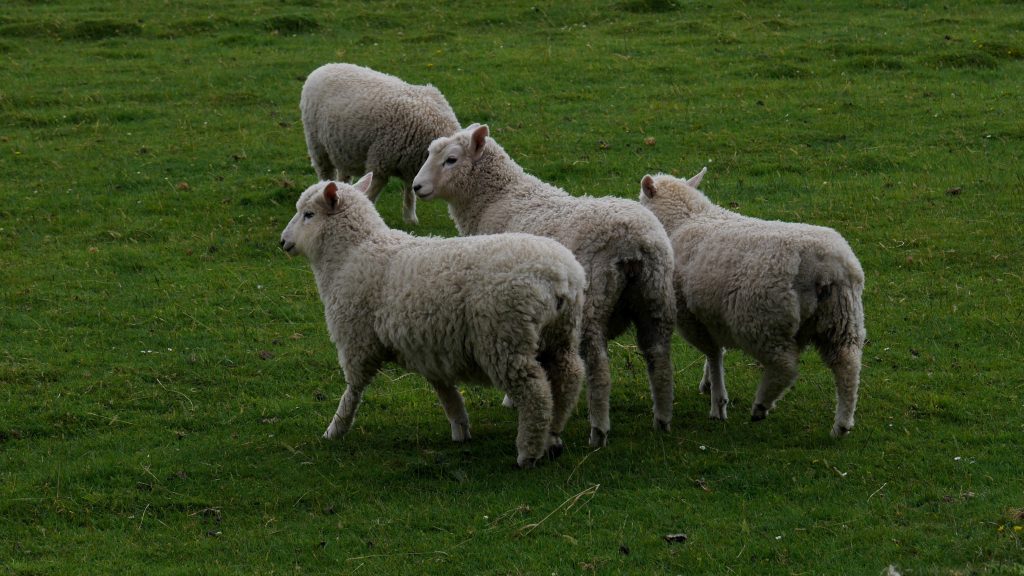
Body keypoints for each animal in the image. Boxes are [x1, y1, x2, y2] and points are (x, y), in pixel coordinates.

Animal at [279, 174, 586, 468]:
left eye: (308, 214)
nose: (283, 242)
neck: (352, 252)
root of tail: (560, 276)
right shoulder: (428, 347)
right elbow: (444, 391)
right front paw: (460, 427)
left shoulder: (357, 341)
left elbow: (353, 390)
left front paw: (335, 429)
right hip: (560, 336)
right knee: (569, 378)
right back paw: (554, 436)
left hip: (505, 340)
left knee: (536, 394)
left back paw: (528, 453)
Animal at [300, 63, 461, 225]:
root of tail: (324, 67)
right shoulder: (379, 164)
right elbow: (371, 193)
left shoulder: (410, 166)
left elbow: (410, 192)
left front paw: (410, 219)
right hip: (317, 145)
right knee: (325, 173)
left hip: (342, 149)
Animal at [411, 124, 677, 448]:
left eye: (451, 159)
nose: (417, 187)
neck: (496, 198)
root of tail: (634, 243)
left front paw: (511, 400)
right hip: (655, 296)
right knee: (659, 357)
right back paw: (662, 420)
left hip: (593, 302)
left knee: (599, 369)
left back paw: (598, 430)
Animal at [638, 168, 865, 437]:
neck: (687, 220)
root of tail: (825, 266)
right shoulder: (711, 314)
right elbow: (717, 352)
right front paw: (709, 384)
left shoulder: (690, 317)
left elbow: (713, 353)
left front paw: (718, 403)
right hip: (841, 318)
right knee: (847, 365)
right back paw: (842, 423)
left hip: (762, 320)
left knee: (785, 366)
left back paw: (762, 405)